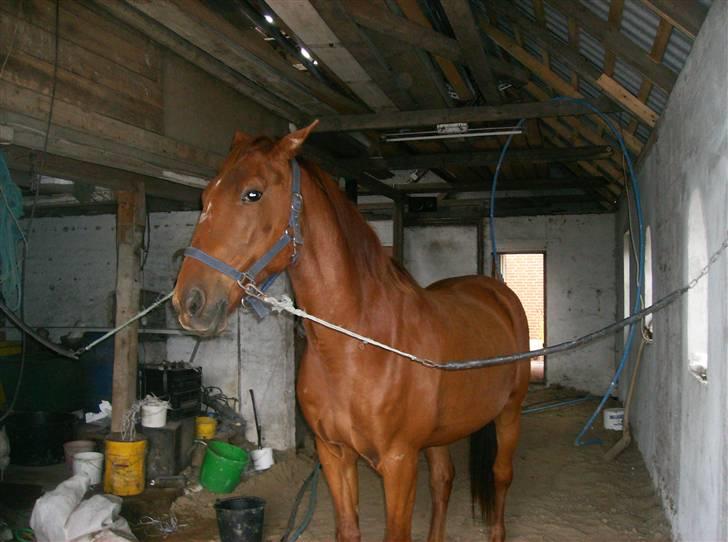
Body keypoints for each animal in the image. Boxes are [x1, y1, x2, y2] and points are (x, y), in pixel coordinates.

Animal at [176, 123, 528, 542]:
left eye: (253, 193)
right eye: (205, 196)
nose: (189, 302)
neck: (356, 349)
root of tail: (496, 291)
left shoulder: (399, 463)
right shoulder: (334, 453)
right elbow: (348, 528)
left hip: (509, 413)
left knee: (501, 475)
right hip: (439, 436)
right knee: (443, 479)